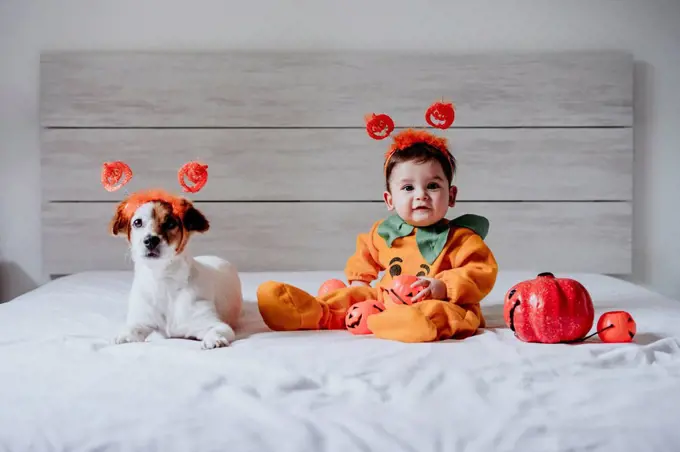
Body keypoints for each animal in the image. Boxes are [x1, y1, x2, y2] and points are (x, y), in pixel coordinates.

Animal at [107, 189, 243, 348]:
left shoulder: (215, 324)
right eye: (137, 222)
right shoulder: (142, 321)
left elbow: (216, 330)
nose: (150, 240)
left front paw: (214, 339)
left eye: (171, 223)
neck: (163, 280)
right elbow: (132, 329)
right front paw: (123, 336)